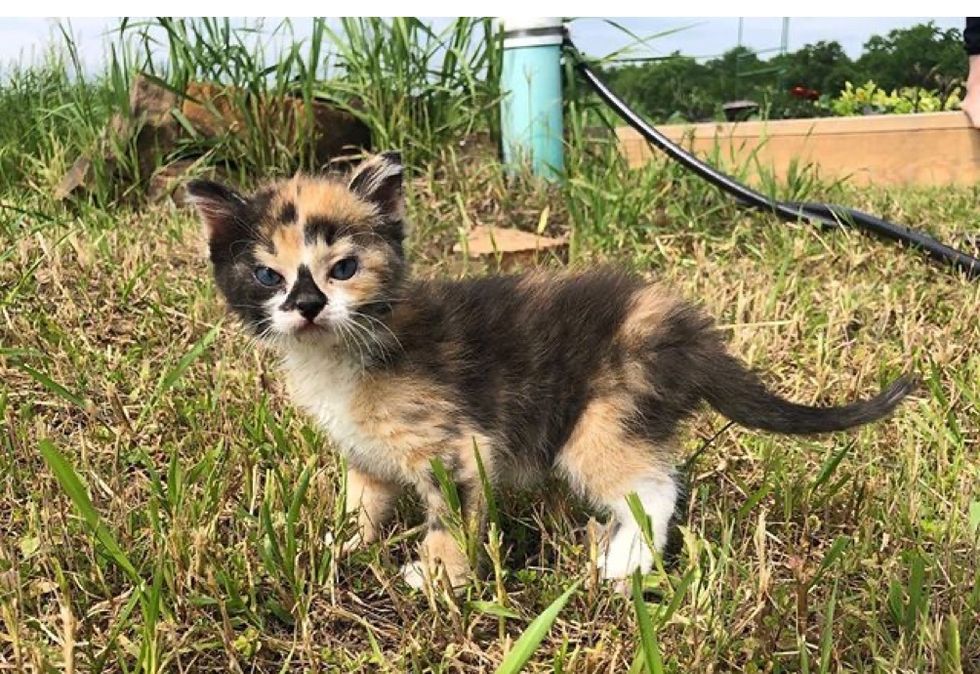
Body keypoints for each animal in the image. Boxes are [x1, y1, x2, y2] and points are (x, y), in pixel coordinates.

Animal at [188, 151, 916, 588]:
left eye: (342, 268)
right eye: (268, 275)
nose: (307, 305)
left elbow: (451, 518)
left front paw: (440, 580)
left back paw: (626, 560)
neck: (343, 351)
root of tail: (687, 332)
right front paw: (340, 548)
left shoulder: (459, 448)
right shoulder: (366, 455)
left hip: (600, 422)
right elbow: (361, 504)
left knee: (655, 488)